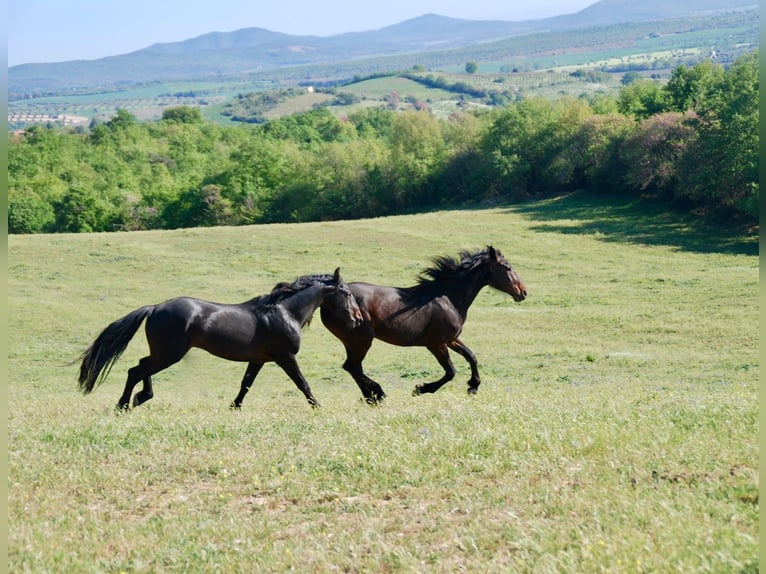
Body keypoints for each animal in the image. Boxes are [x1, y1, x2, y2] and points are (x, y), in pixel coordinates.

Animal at [78, 268, 364, 410]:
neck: (284, 312)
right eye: (346, 292)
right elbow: (302, 383)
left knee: (140, 366)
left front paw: (234, 406)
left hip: (163, 354)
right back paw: (124, 404)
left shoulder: (259, 360)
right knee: (136, 370)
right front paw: (318, 406)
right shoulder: (285, 357)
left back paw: (140, 398)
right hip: (169, 355)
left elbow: (245, 384)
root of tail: (155, 307)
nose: (358, 319)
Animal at [320, 248, 528, 404]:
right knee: (353, 367)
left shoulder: (451, 339)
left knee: (353, 368)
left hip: (352, 342)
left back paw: (371, 397)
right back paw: (378, 394)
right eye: (507, 267)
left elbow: (471, 356)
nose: (523, 292)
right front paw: (421, 389)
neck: (449, 297)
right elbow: (450, 371)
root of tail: (326, 301)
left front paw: (473, 386)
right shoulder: (436, 344)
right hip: (361, 340)